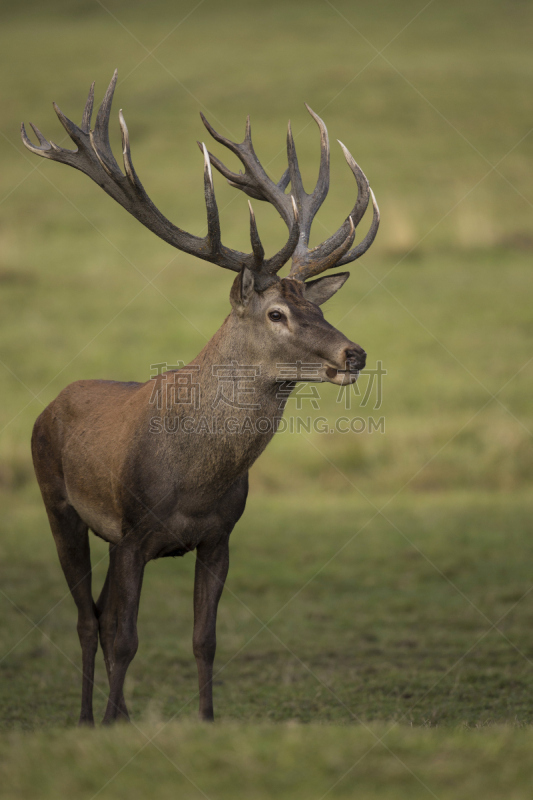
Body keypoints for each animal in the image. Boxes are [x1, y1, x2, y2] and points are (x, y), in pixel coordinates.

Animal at [20, 72, 378, 728]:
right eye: (277, 312)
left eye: (318, 307)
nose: (354, 354)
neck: (193, 479)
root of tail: (52, 402)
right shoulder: (133, 533)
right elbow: (126, 638)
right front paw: (116, 721)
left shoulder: (218, 537)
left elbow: (203, 639)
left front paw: (206, 722)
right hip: (57, 502)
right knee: (87, 619)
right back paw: (85, 719)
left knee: (99, 613)